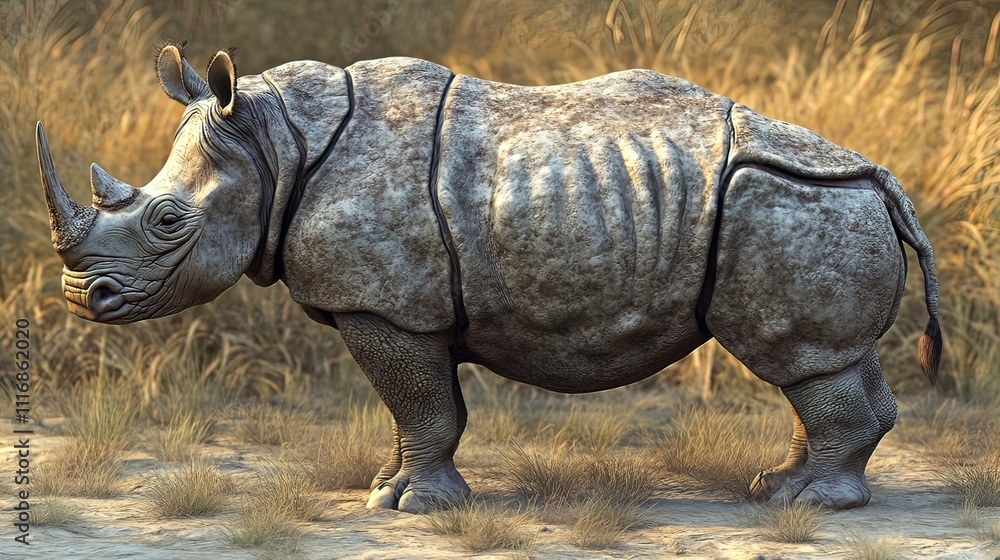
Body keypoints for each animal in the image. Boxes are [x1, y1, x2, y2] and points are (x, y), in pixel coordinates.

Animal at [37, 43, 941, 513]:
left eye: (166, 222)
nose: (85, 298)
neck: (275, 143)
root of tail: (881, 174)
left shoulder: (385, 306)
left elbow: (422, 404)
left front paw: (406, 506)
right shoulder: (402, 305)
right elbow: (423, 409)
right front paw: (392, 487)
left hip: (788, 201)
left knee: (797, 359)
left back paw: (805, 505)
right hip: (807, 204)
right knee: (827, 362)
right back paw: (780, 487)